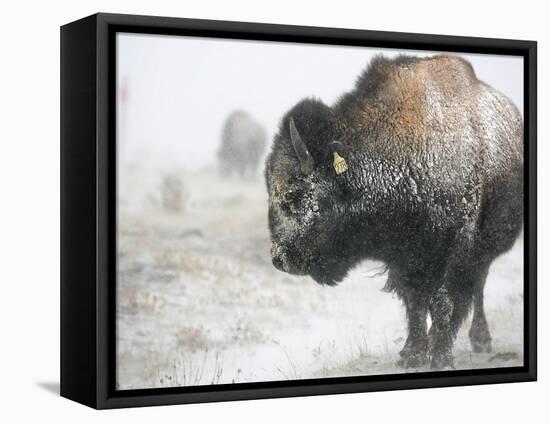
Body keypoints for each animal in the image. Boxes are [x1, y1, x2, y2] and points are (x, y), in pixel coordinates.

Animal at [268, 54, 528, 370]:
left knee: (477, 286)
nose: (280, 259)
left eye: (295, 196)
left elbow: (444, 301)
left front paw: (440, 358)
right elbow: (415, 303)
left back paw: (480, 339)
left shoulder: (457, 245)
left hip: (486, 247)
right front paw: (413, 354)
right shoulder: (405, 255)